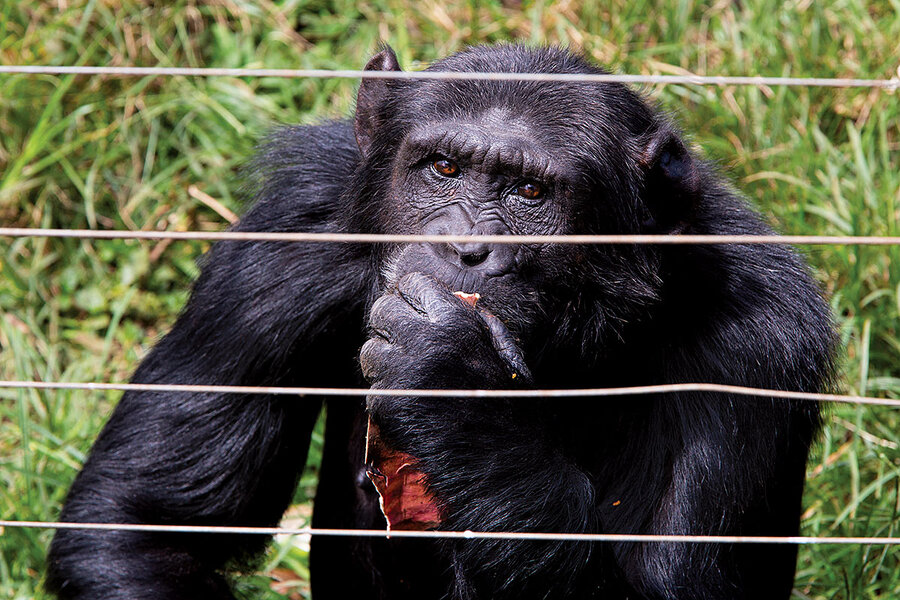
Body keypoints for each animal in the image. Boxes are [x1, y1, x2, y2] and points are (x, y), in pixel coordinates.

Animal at [47, 44, 836, 596]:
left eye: (529, 192)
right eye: (444, 170)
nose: (465, 246)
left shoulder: (756, 343)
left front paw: (454, 383)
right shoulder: (281, 243)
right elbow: (145, 528)